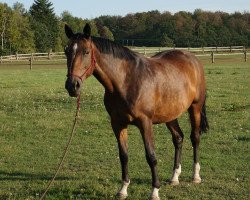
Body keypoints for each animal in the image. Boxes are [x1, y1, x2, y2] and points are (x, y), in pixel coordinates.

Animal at [64, 23, 209, 200]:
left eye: (86, 51)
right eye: (66, 50)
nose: (72, 86)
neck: (126, 81)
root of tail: (192, 58)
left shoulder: (145, 122)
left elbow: (151, 156)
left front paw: (154, 191)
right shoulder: (117, 123)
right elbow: (124, 156)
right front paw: (123, 189)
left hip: (195, 108)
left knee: (195, 138)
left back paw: (196, 176)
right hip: (170, 114)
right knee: (178, 138)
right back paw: (175, 177)